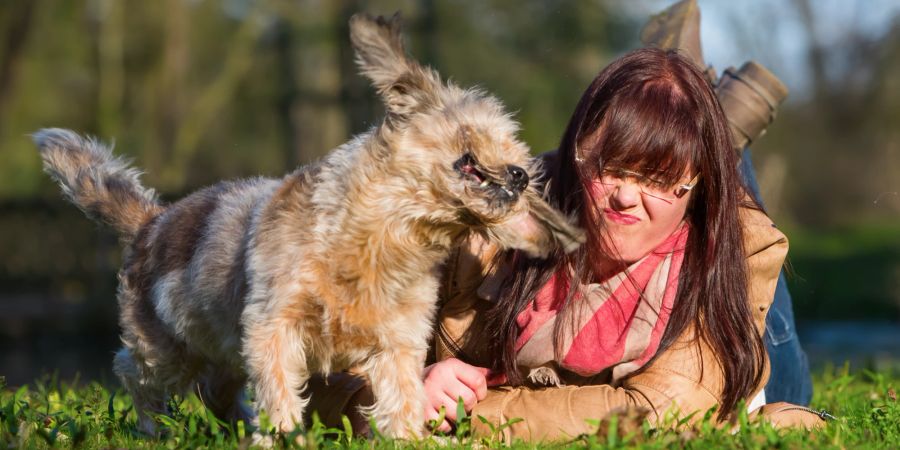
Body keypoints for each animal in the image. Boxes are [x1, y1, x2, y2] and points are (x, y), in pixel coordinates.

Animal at [31, 14, 584, 440]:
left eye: (519, 156)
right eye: (481, 141)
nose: (520, 174)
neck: (388, 238)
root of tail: (152, 222)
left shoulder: (397, 343)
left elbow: (402, 397)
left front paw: (407, 436)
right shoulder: (272, 328)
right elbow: (280, 388)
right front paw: (282, 435)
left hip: (221, 353)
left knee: (216, 391)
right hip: (166, 347)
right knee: (135, 373)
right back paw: (155, 429)